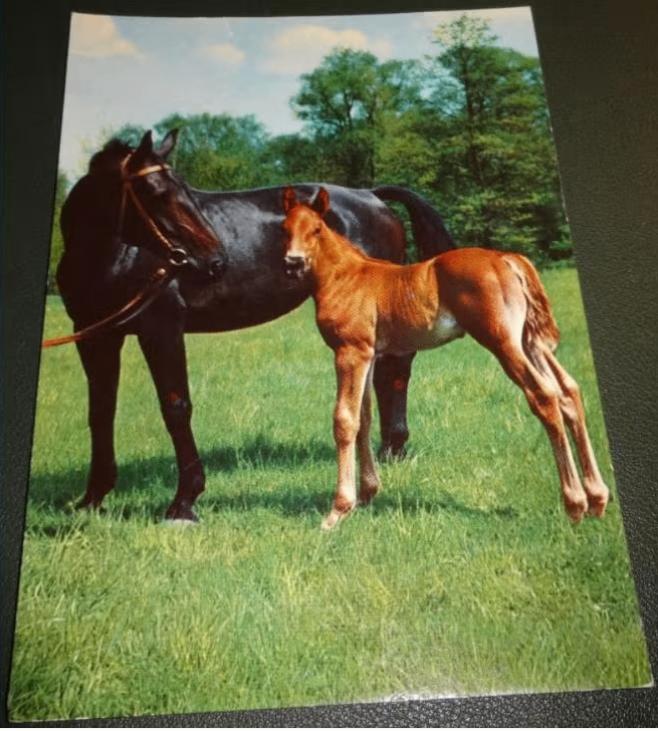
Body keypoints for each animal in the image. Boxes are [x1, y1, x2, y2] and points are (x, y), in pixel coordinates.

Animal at [56, 130, 455, 521]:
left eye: (184, 190)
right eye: (157, 194)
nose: (215, 261)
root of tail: (370, 195)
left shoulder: (161, 328)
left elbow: (175, 406)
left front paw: (184, 502)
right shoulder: (95, 336)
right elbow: (100, 411)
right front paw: (92, 498)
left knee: (395, 372)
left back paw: (392, 449)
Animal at [280, 186, 610, 530]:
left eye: (317, 229)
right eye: (285, 229)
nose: (293, 262)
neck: (345, 276)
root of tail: (506, 258)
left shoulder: (349, 351)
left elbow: (345, 419)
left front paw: (338, 511)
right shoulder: (368, 354)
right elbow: (365, 417)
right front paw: (368, 494)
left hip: (503, 342)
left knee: (544, 395)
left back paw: (575, 504)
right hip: (530, 342)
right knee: (568, 390)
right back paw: (597, 499)